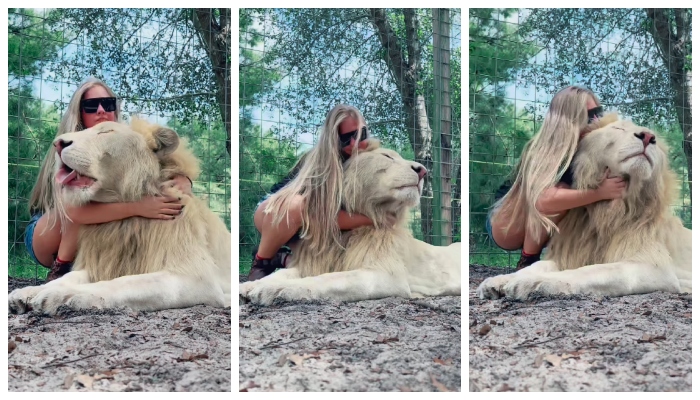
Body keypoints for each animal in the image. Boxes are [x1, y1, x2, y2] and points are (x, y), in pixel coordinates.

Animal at [238, 142, 462, 304]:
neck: (345, 232)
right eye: (387, 157)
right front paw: (249, 286)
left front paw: (274, 290)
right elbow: (283, 273)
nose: (423, 170)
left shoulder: (387, 276)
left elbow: (329, 279)